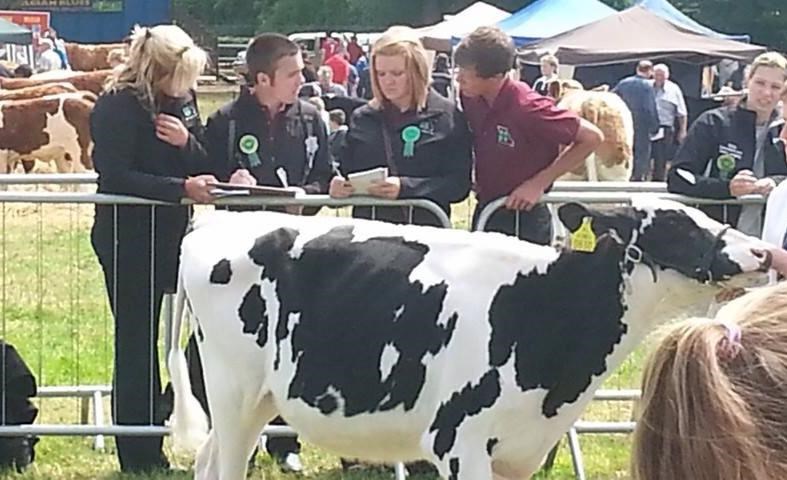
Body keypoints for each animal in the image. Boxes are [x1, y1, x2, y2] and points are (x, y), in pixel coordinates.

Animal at [166, 197, 776, 478]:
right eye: (674, 224)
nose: (763, 252)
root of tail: (216, 219)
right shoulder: (457, 440)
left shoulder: (517, 452)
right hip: (234, 394)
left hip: (251, 402)